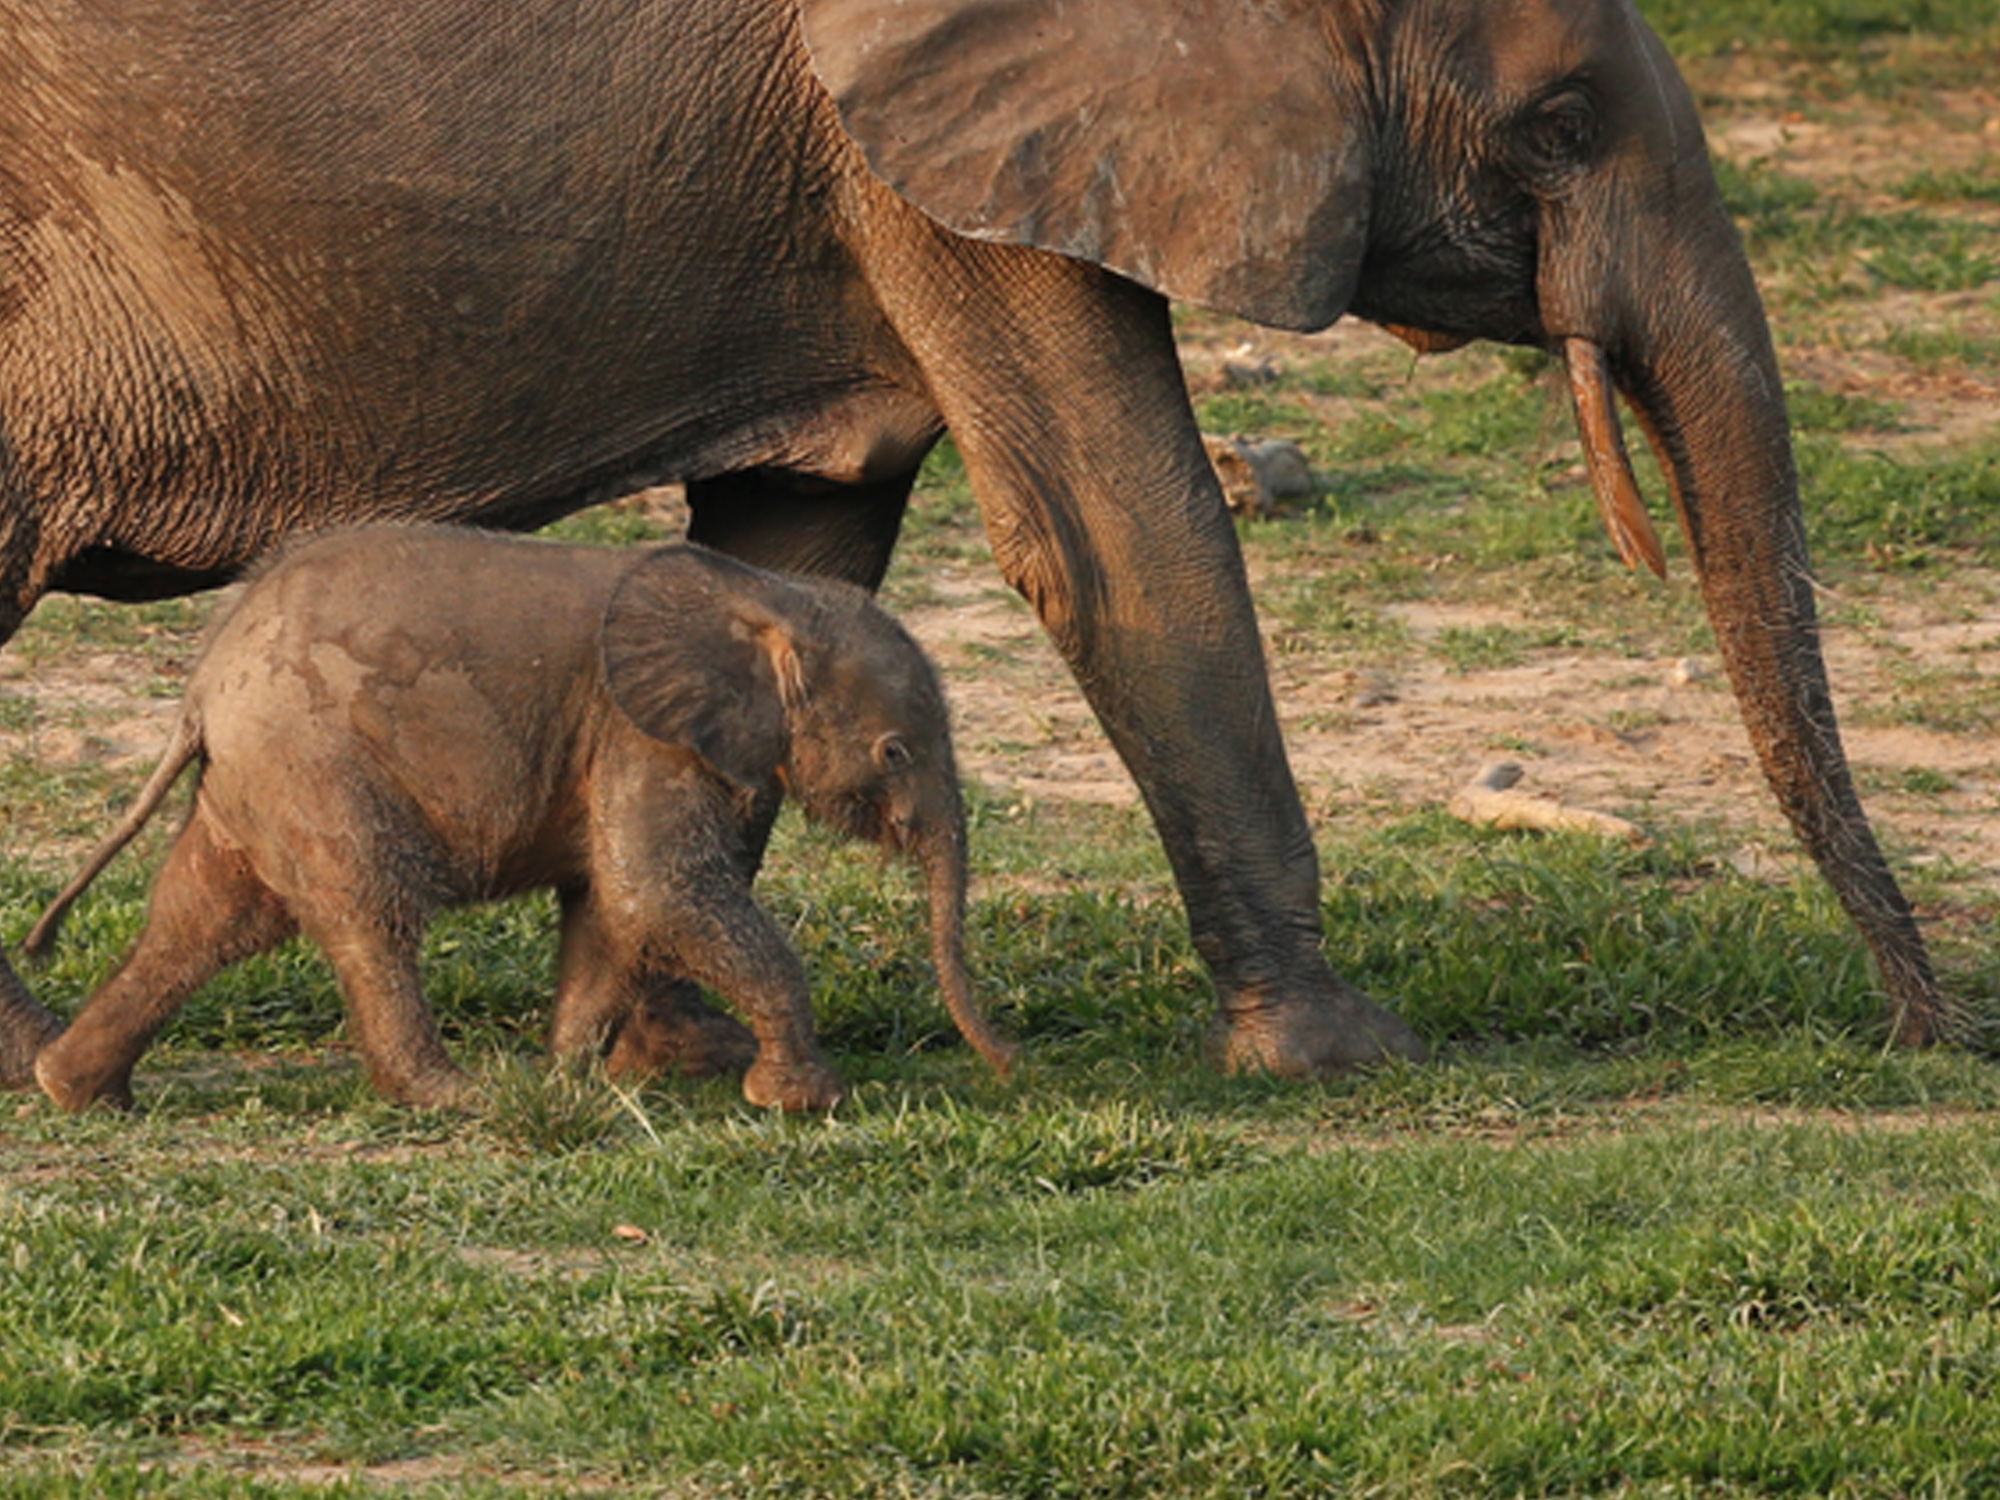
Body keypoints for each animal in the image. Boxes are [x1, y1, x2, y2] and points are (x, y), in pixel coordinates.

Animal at [31, 528, 1024, 1120]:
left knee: (201, 919)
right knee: (369, 914)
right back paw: (449, 1096)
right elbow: (658, 892)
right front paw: (802, 1101)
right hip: (314, 761)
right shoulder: (641, 732)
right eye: (894, 752)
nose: (1013, 1063)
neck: (768, 595)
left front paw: (570, 1080)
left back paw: (76, 1091)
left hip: (259, 778)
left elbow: (614, 911)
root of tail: (198, 690)